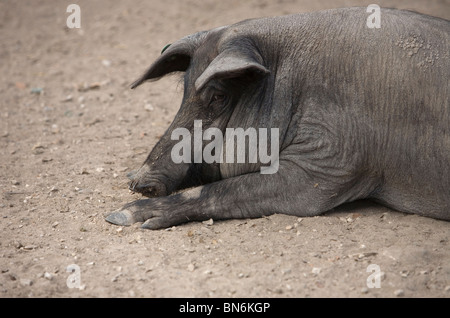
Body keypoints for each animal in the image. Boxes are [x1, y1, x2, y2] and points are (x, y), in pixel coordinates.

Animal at [103, 6, 448, 229]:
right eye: (185, 91)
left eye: (217, 97)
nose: (138, 181)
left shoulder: (329, 163)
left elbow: (226, 189)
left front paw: (121, 216)